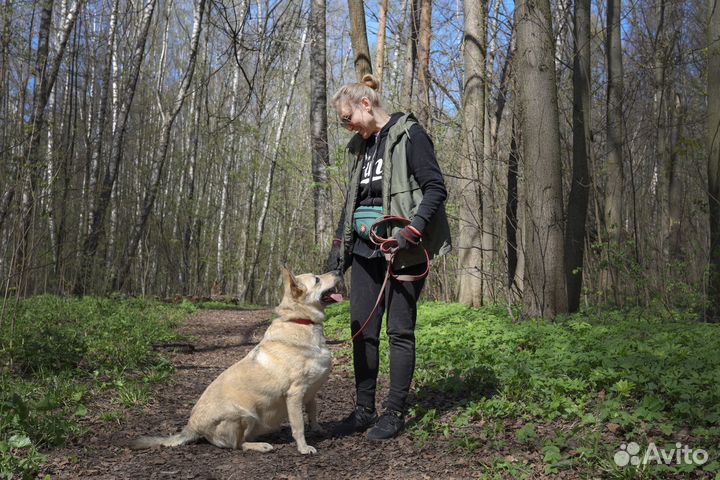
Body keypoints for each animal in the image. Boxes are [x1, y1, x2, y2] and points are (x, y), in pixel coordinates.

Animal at [131, 270, 344, 454]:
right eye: (317, 279)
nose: (338, 270)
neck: (301, 321)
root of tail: (192, 427)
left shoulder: (311, 392)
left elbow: (313, 413)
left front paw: (318, 430)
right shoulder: (295, 394)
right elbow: (298, 425)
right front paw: (303, 447)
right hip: (244, 416)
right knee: (237, 445)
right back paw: (260, 446)